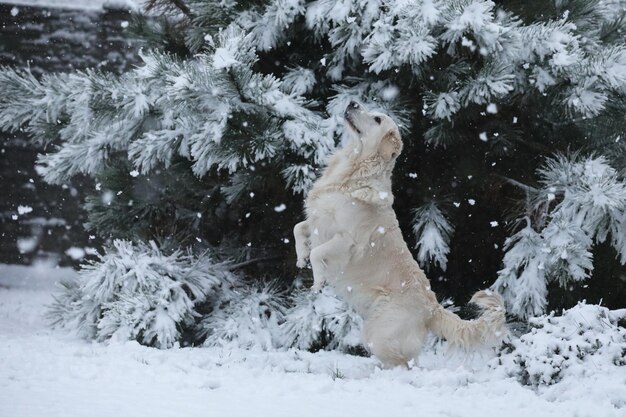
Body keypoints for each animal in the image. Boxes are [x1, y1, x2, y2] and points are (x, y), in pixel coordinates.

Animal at [294, 101, 508, 368]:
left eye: (377, 119)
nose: (353, 103)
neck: (354, 169)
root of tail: (432, 308)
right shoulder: (317, 222)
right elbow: (299, 229)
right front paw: (300, 257)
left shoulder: (347, 241)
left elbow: (318, 253)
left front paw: (318, 280)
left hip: (378, 333)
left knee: (403, 364)